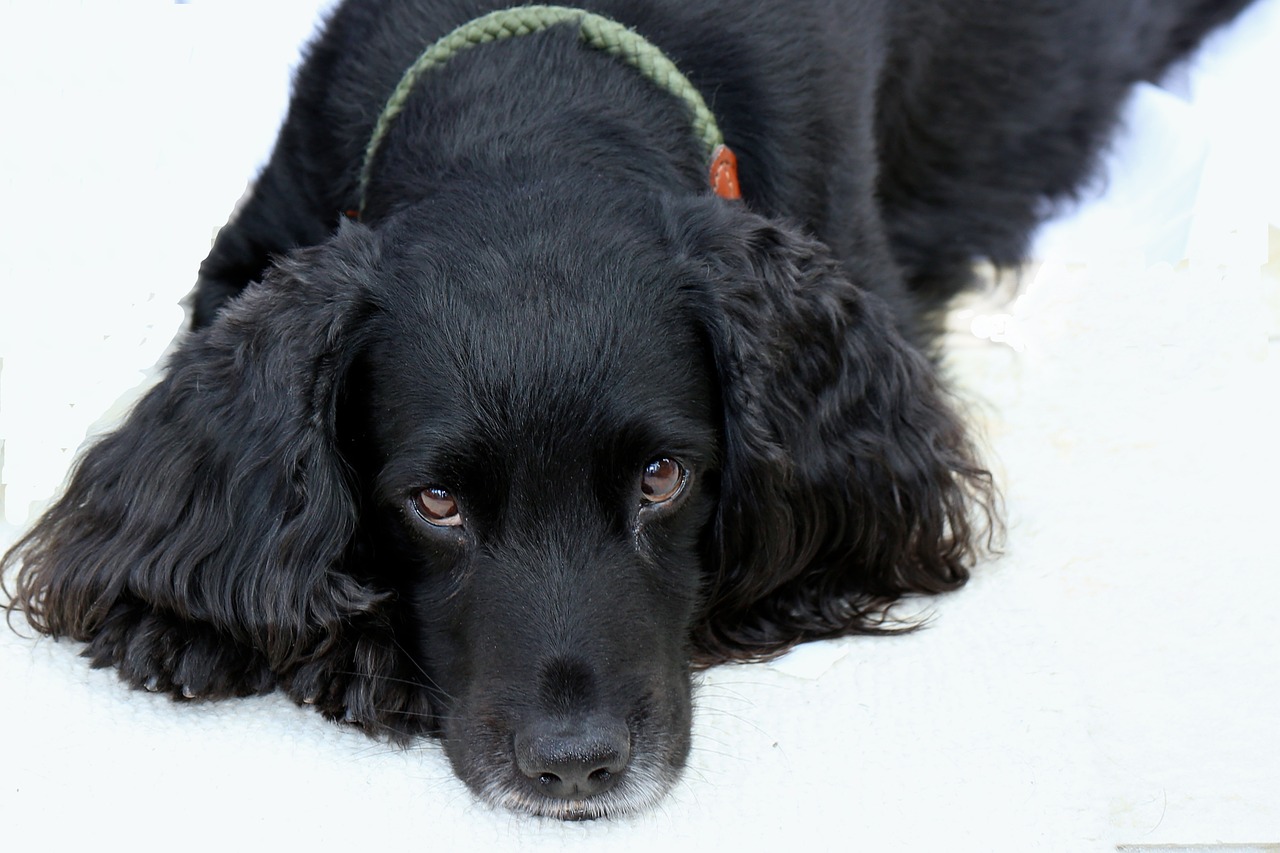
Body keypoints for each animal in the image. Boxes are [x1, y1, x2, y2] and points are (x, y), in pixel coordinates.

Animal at [0, 0, 1249, 819]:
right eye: (434, 500)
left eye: (662, 477)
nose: (573, 766)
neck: (540, 96)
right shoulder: (263, 236)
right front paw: (196, 620)